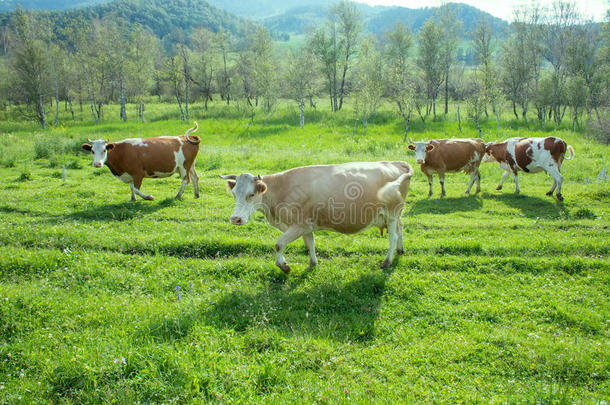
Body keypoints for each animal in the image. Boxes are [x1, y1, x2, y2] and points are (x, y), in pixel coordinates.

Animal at [218, 160, 414, 272]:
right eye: (234, 193)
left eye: (251, 194)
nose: (235, 219)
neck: (281, 189)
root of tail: (395, 163)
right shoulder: (306, 226)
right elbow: (310, 244)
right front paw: (313, 263)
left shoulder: (298, 225)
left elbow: (279, 244)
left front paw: (284, 266)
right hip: (395, 214)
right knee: (401, 228)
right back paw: (400, 250)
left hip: (391, 213)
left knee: (393, 236)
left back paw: (387, 261)